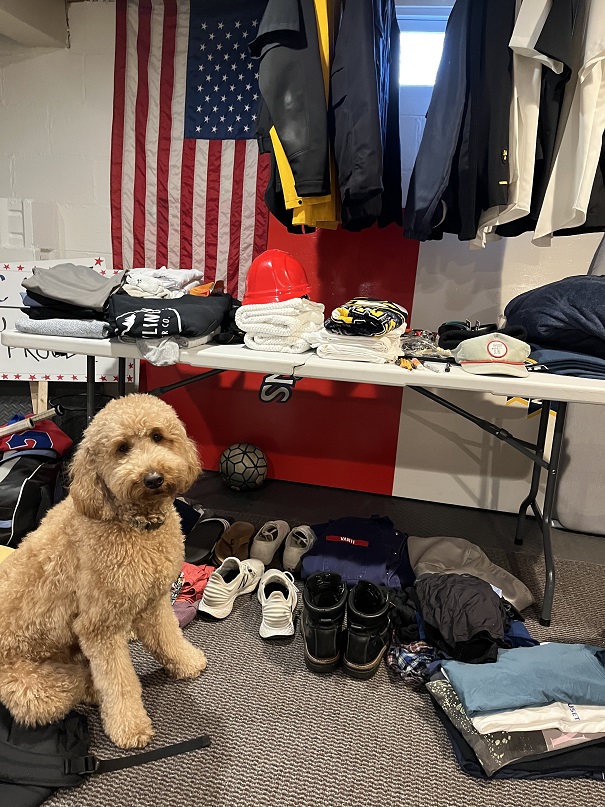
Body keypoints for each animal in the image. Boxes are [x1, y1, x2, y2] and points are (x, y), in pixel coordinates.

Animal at [0, 394, 205, 748]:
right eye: (122, 448)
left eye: (157, 436)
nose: (153, 478)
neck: (135, 526)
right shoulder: (99, 626)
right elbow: (119, 682)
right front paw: (129, 727)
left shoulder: (154, 602)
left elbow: (169, 638)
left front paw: (186, 662)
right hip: (35, 690)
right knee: (74, 685)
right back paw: (93, 689)